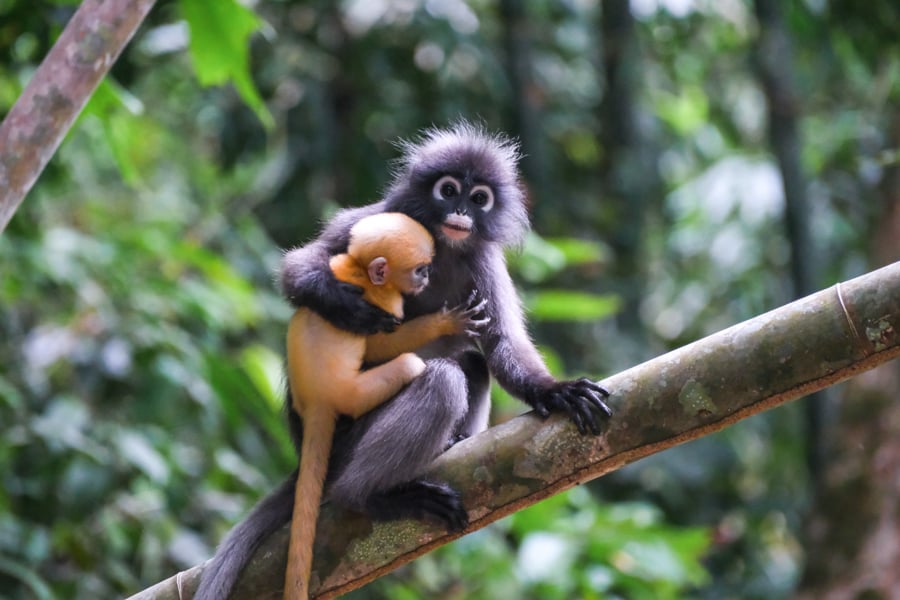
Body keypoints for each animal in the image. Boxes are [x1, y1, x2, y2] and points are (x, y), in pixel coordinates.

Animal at [286, 212, 486, 600]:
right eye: (420, 269)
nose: (426, 277)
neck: (358, 268)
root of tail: (318, 402)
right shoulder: (384, 302)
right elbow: (380, 345)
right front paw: (447, 322)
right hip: (355, 394)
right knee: (416, 366)